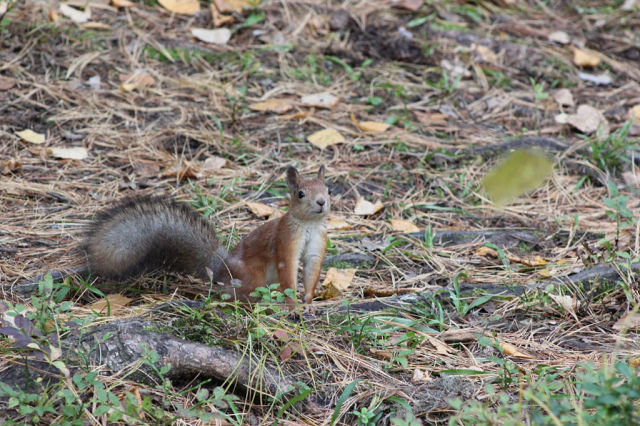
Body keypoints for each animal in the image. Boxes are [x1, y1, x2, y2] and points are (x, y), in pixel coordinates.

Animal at [84, 165, 330, 308]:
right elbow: (288, 271)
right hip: (252, 277)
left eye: (328, 189)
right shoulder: (285, 239)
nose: (322, 202)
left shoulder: (318, 244)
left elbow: (312, 271)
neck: (309, 224)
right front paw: (293, 305)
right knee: (241, 296)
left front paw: (308, 302)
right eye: (300, 194)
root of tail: (220, 269)